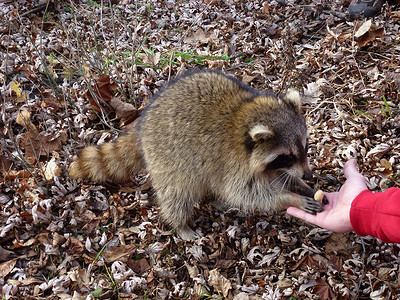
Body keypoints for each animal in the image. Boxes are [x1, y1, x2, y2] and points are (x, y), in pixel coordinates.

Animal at [69, 69, 324, 240]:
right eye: (287, 156)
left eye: (305, 147)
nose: (309, 175)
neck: (245, 116)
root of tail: (142, 126)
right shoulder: (235, 163)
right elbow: (249, 194)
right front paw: (289, 198)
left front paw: (299, 185)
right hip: (168, 159)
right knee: (177, 194)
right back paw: (180, 223)